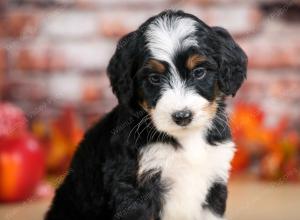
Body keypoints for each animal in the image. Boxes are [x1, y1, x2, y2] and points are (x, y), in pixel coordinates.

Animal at [45, 9, 246, 220]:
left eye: (199, 72)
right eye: (154, 78)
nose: (182, 116)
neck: (185, 139)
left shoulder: (214, 178)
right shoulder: (135, 187)